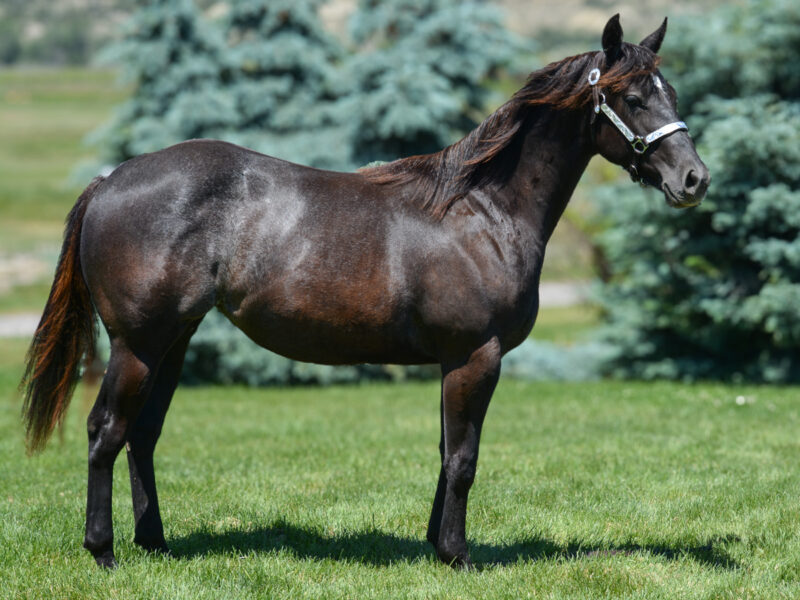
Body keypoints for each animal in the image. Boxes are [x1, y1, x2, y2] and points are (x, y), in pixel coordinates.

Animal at [20, 14, 708, 568]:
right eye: (632, 96)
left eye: (669, 91)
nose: (694, 179)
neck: (482, 212)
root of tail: (111, 179)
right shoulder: (475, 356)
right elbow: (464, 459)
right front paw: (458, 556)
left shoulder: (452, 363)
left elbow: (445, 451)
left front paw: (434, 545)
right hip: (137, 343)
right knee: (106, 430)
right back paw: (103, 551)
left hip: (173, 341)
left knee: (142, 434)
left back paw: (156, 544)